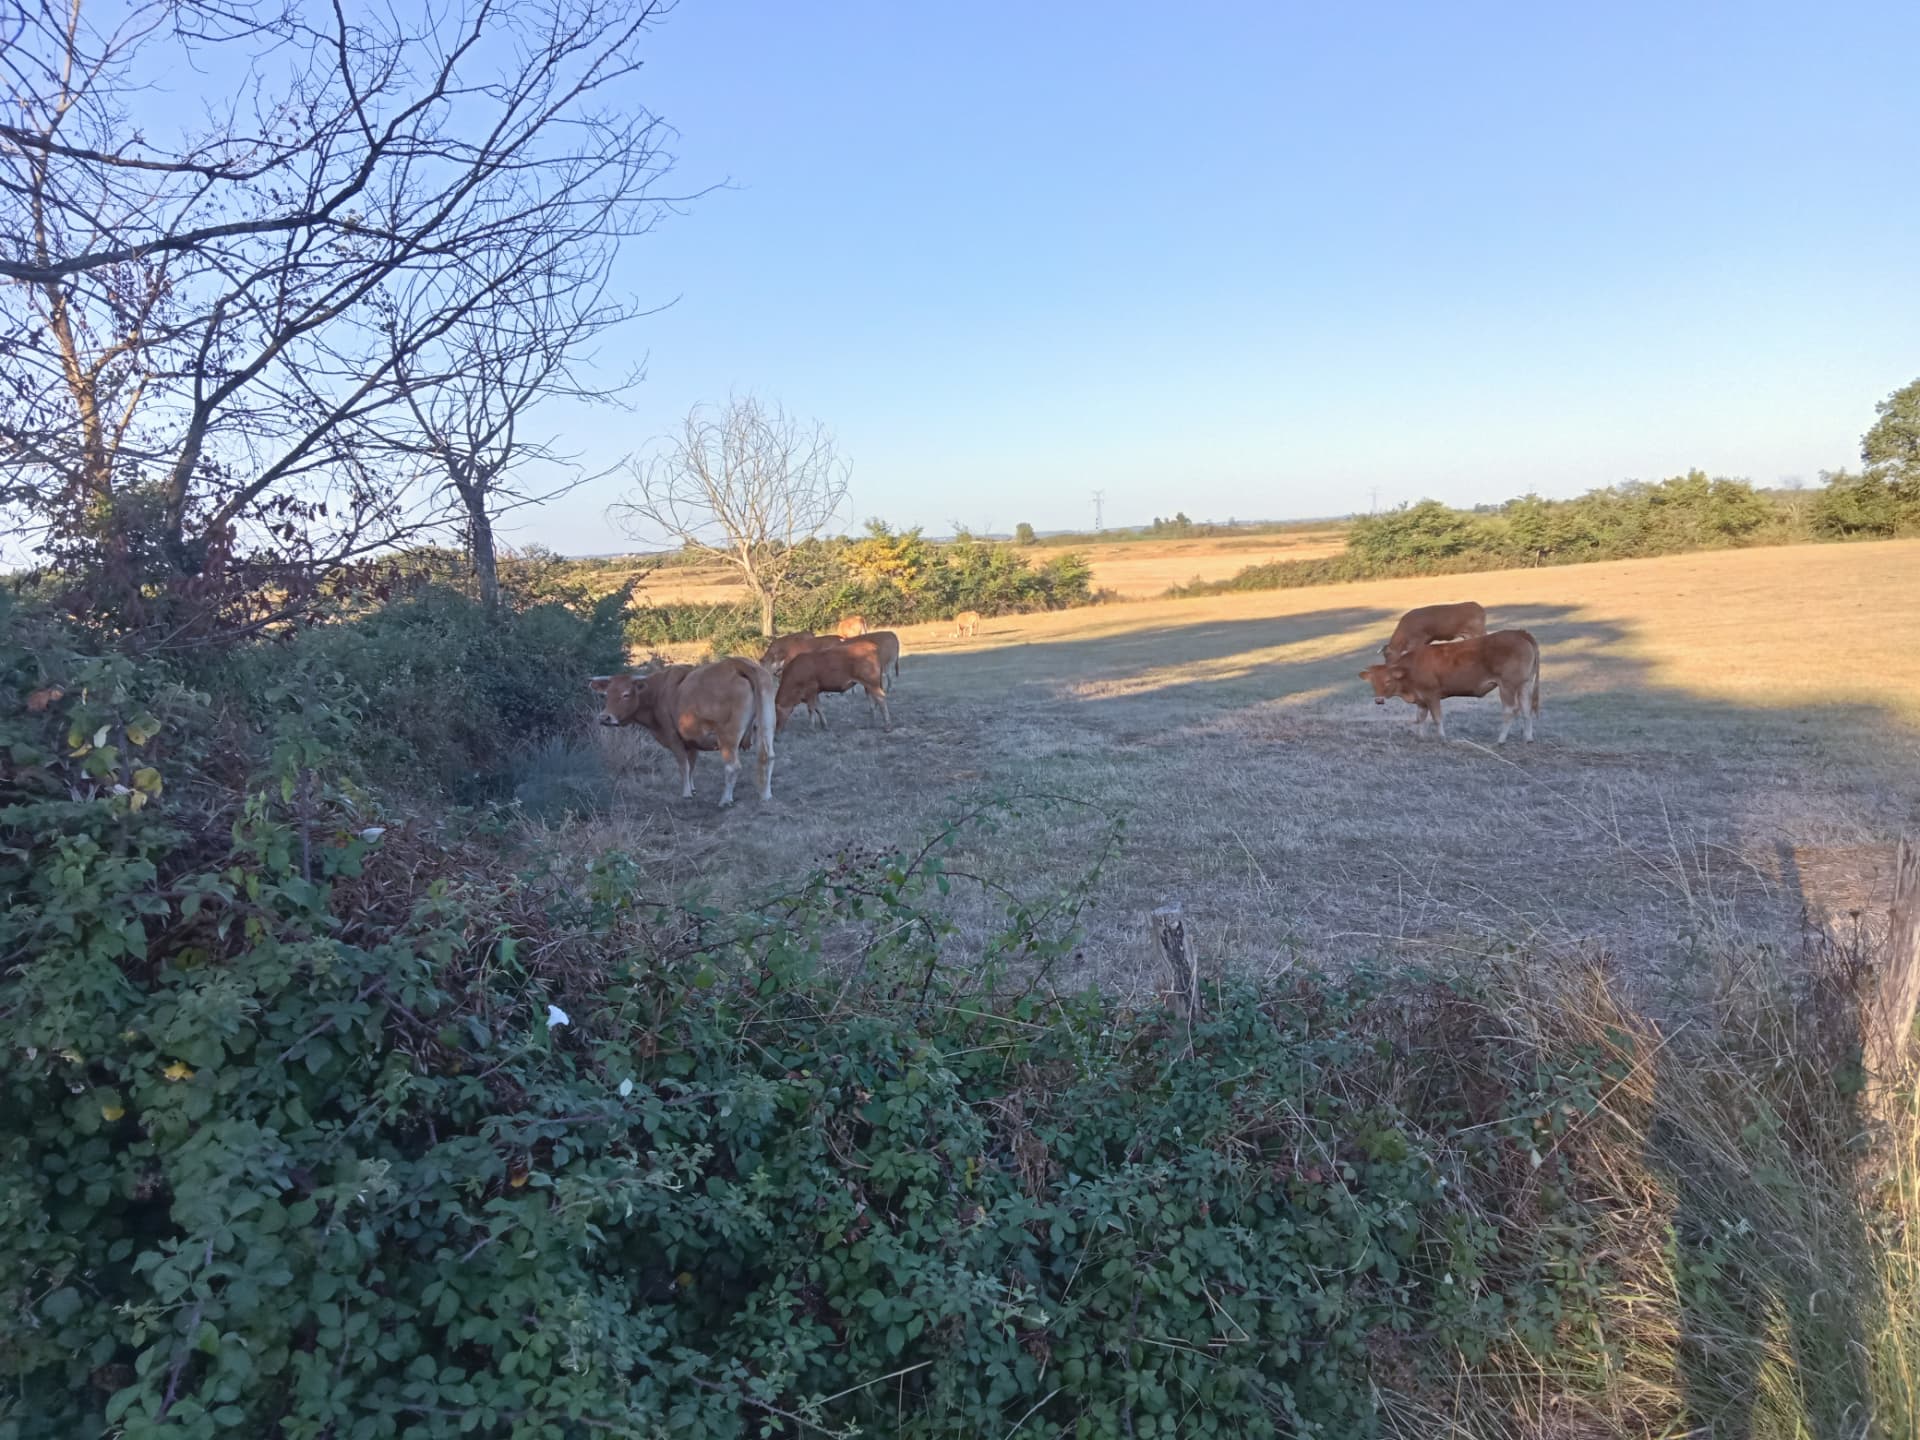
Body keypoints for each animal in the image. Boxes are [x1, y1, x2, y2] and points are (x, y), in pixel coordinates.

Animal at [588, 657, 777, 806]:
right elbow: (691, 766)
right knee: (768, 757)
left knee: (733, 766)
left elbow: (684, 766)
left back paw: (725, 799)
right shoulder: (692, 741)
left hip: (727, 737)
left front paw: (686, 793)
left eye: (626, 694)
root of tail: (736, 663)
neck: (659, 693)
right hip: (767, 725)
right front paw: (692, 788)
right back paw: (766, 795)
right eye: (606, 694)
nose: (605, 717)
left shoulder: (673, 738)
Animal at [1359, 629, 1540, 742]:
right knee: (1526, 710)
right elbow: (1420, 718)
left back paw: (1501, 739)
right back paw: (1528, 738)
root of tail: (1520, 633)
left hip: (1507, 686)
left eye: (1388, 681)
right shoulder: (1421, 699)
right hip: (1525, 685)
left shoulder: (1432, 695)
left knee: (1510, 711)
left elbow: (1437, 718)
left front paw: (1442, 738)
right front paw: (1421, 737)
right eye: (1373, 683)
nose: (1379, 700)